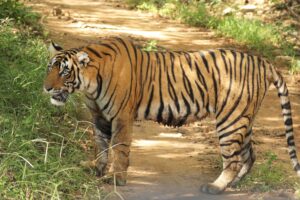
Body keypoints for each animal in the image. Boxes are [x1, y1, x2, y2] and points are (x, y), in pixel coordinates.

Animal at [43, 36, 298, 194]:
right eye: (49, 67)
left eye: (64, 72)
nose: (46, 88)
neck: (89, 85)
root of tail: (263, 62)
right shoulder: (99, 116)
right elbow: (101, 145)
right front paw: (96, 168)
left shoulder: (121, 117)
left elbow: (119, 148)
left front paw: (117, 178)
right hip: (242, 118)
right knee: (249, 155)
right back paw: (231, 185)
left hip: (231, 120)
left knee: (234, 159)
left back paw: (216, 187)